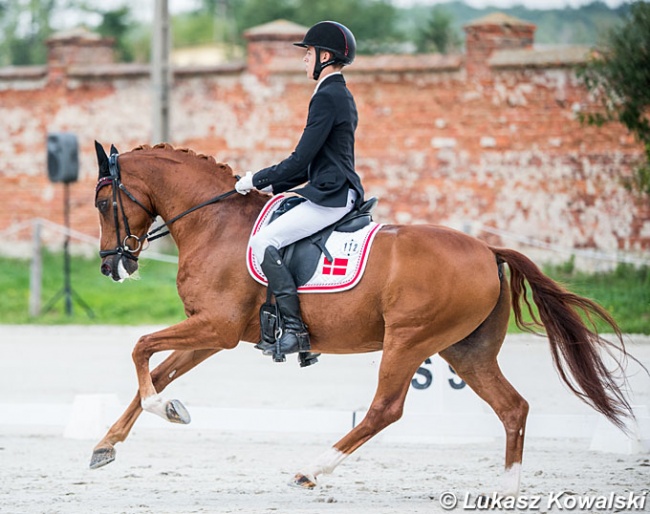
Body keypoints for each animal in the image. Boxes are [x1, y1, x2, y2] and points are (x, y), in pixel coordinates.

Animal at [91, 140, 632, 492]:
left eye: (101, 201)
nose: (111, 266)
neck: (215, 223)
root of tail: (487, 249)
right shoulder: (211, 333)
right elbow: (158, 370)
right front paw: (109, 443)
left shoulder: (217, 328)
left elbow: (140, 348)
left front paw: (166, 410)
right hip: (466, 351)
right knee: (513, 408)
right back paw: (506, 492)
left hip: (410, 341)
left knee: (385, 410)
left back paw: (311, 470)